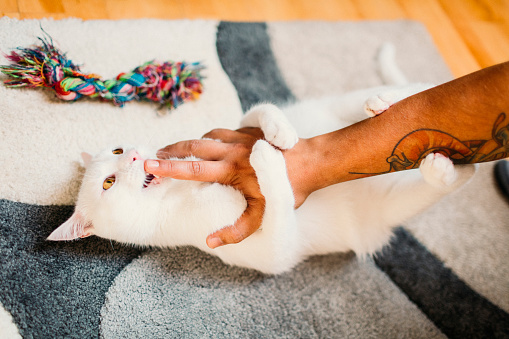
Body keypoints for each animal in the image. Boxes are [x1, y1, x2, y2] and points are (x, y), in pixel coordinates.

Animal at [46, 81, 476, 274]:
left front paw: (277, 132)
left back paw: (382, 100)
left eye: (119, 152)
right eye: (108, 183)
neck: (182, 190)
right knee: (456, 177)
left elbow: (255, 112)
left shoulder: (223, 132)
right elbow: (280, 205)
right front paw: (266, 159)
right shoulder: (269, 251)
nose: (134, 155)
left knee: (402, 93)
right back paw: (444, 165)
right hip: (387, 209)